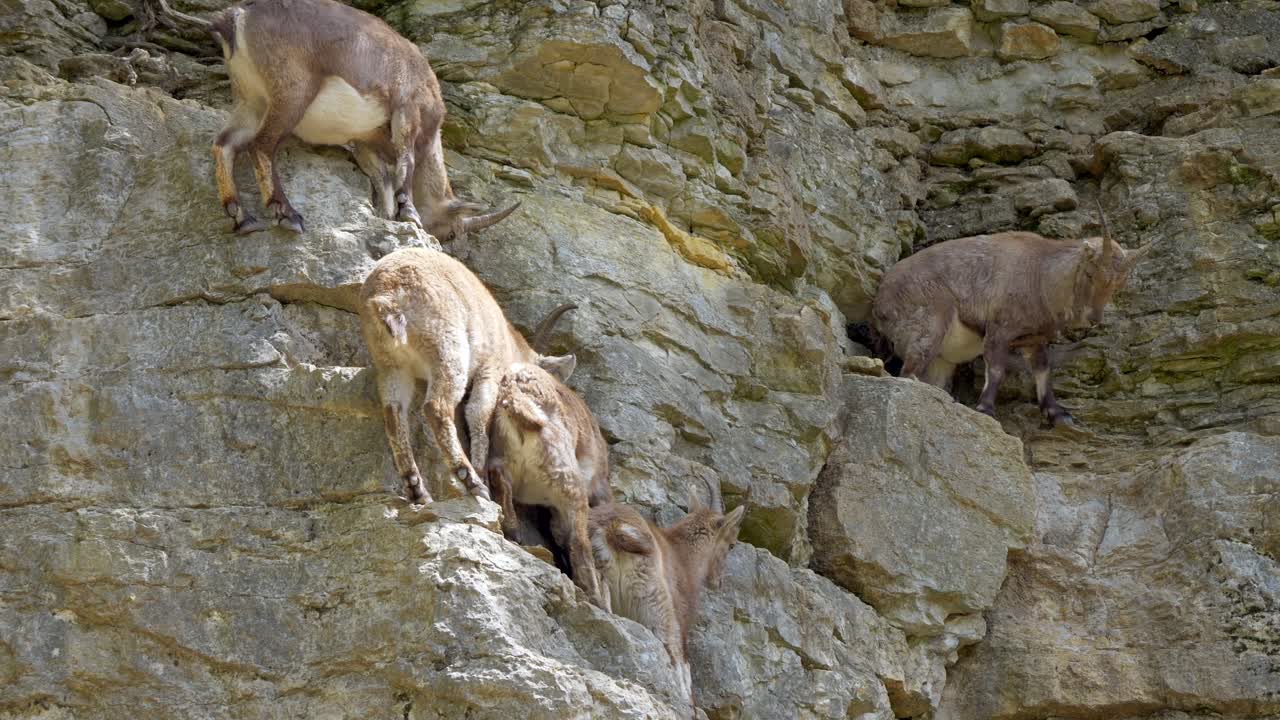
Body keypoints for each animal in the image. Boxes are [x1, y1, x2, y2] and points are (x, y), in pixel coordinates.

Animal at [155, 0, 517, 236]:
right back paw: (286, 213)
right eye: (451, 232)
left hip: (251, 99)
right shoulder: (408, 109)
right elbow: (406, 163)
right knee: (261, 145)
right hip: (292, 92)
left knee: (225, 144)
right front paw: (410, 213)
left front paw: (387, 216)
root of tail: (235, 17)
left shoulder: (364, 140)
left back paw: (241, 218)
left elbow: (382, 179)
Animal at [358, 247, 576, 505]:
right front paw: (482, 478)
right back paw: (471, 480)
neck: (510, 344)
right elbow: (478, 414)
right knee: (436, 406)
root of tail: (386, 297)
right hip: (448, 348)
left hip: (392, 365)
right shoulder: (490, 369)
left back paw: (417, 489)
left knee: (393, 413)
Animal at [486, 360, 612, 608]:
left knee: (499, 477)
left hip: (502, 454)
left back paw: (512, 530)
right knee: (579, 542)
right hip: (568, 480)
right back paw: (595, 597)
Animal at [589, 485, 745, 705]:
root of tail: (614, 527)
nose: (718, 582)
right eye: (731, 544)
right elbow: (683, 659)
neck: (683, 555)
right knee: (669, 645)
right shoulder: (681, 611)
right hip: (654, 599)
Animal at [870, 201, 1153, 425]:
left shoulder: (1035, 338)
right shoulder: (999, 328)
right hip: (931, 323)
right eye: (1091, 273)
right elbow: (997, 369)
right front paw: (985, 409)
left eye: (1118, 285)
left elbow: (1043, 369)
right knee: (909, 372)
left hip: (942, 358)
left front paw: (1058, 414)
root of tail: (880, 301)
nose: (1092, 319)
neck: (1041, 275)